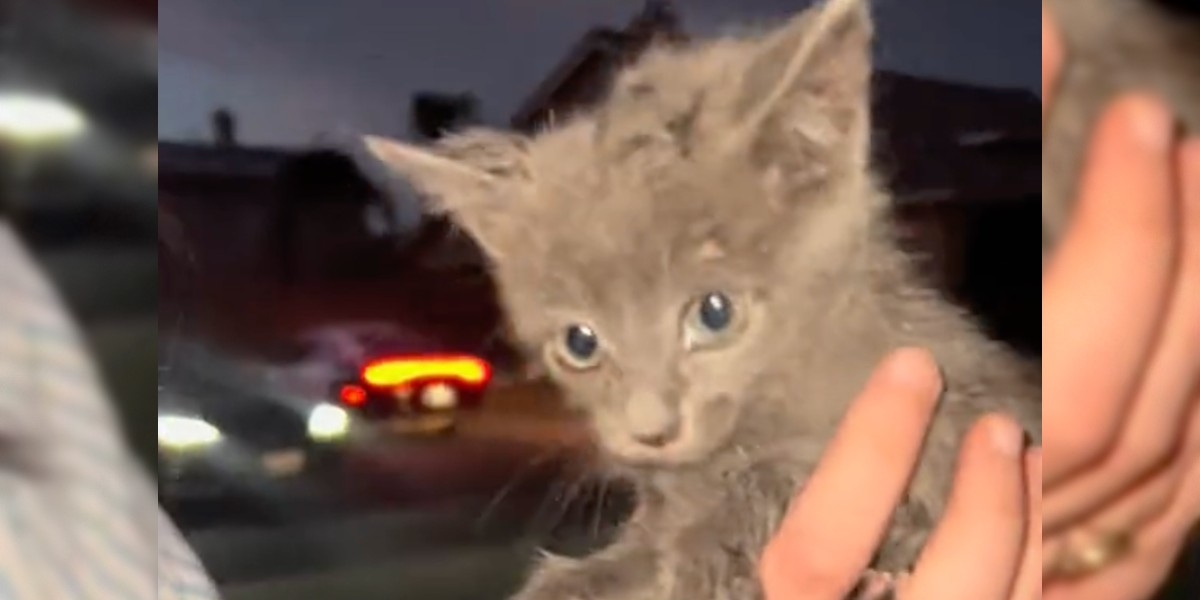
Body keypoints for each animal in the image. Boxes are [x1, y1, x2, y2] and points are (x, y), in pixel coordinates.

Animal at [367, 0, 1041, 595]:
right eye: (580, 343)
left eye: (715, 313)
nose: (650, 431)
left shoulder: (958, 415)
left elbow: (784, 474)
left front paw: (712, 555)